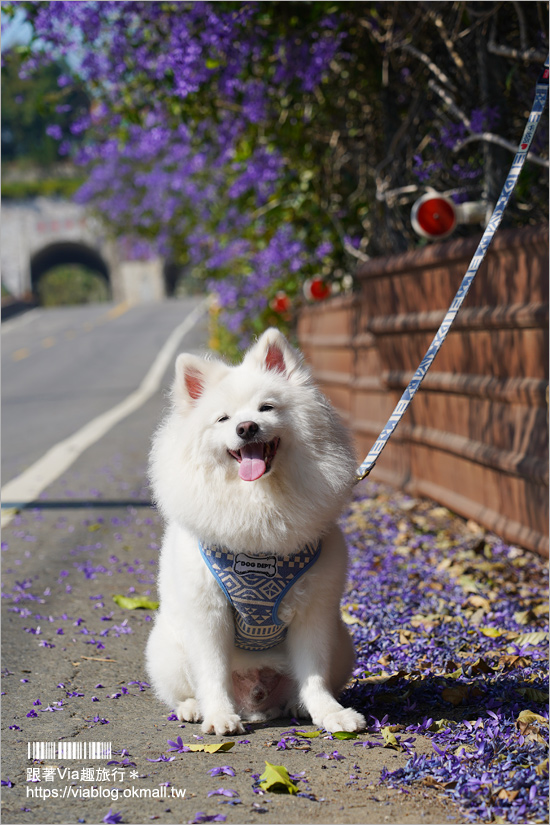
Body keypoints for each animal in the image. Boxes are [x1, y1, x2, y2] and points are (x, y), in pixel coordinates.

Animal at [149, 326, 368, 732]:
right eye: (223, 419)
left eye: (267, 408)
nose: (246, 427)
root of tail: (256, 697)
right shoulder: (207, 613)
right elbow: (212, 673)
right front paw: (219, 716)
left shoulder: (314, 612)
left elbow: (314, 673)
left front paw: (329, 713)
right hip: (166, 648)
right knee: (184, 689)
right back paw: (194, 708)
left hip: (342, 641)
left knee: (304, 681)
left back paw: (298, 705)